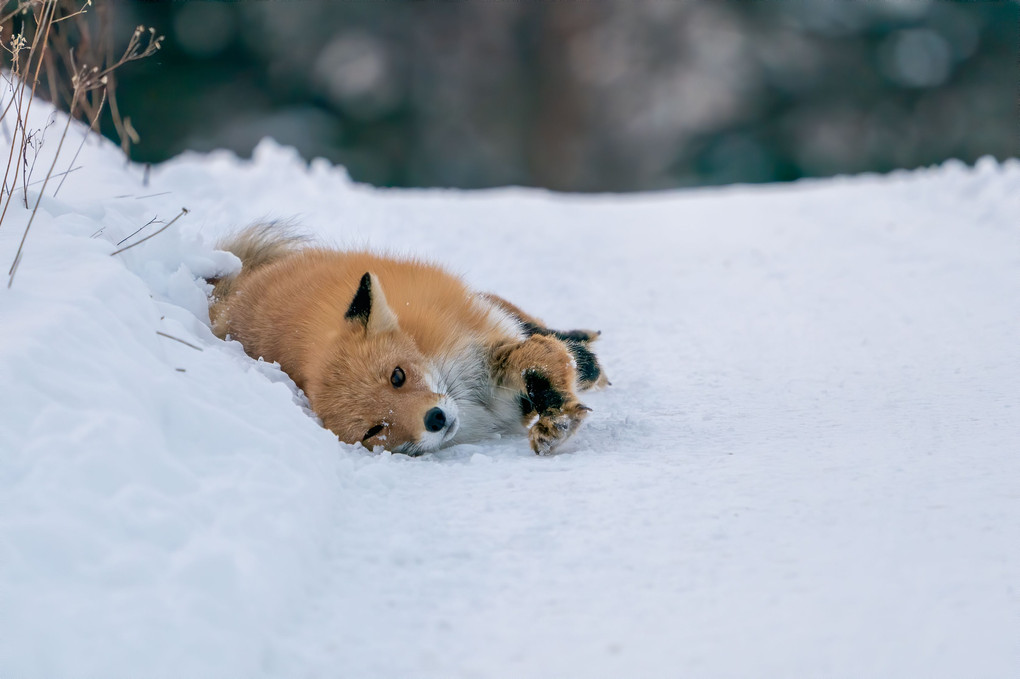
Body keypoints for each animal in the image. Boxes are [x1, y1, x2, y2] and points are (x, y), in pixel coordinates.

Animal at [207, 224, 603, 452]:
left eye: (397, 376)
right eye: (375, 430)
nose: (435, 420)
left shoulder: (485, 352)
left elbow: (540, 359)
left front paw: (557, 415)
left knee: (530, 323)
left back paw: (584, 355)